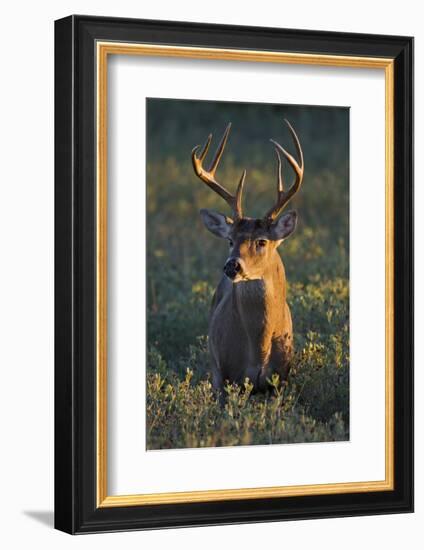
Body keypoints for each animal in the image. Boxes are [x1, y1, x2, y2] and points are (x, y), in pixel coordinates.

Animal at [192, 119, 304, 396]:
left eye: (261, 241)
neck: (258, 348)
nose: (232, 266)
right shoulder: (224, 374)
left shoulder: (280, 379)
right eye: (230, 240)